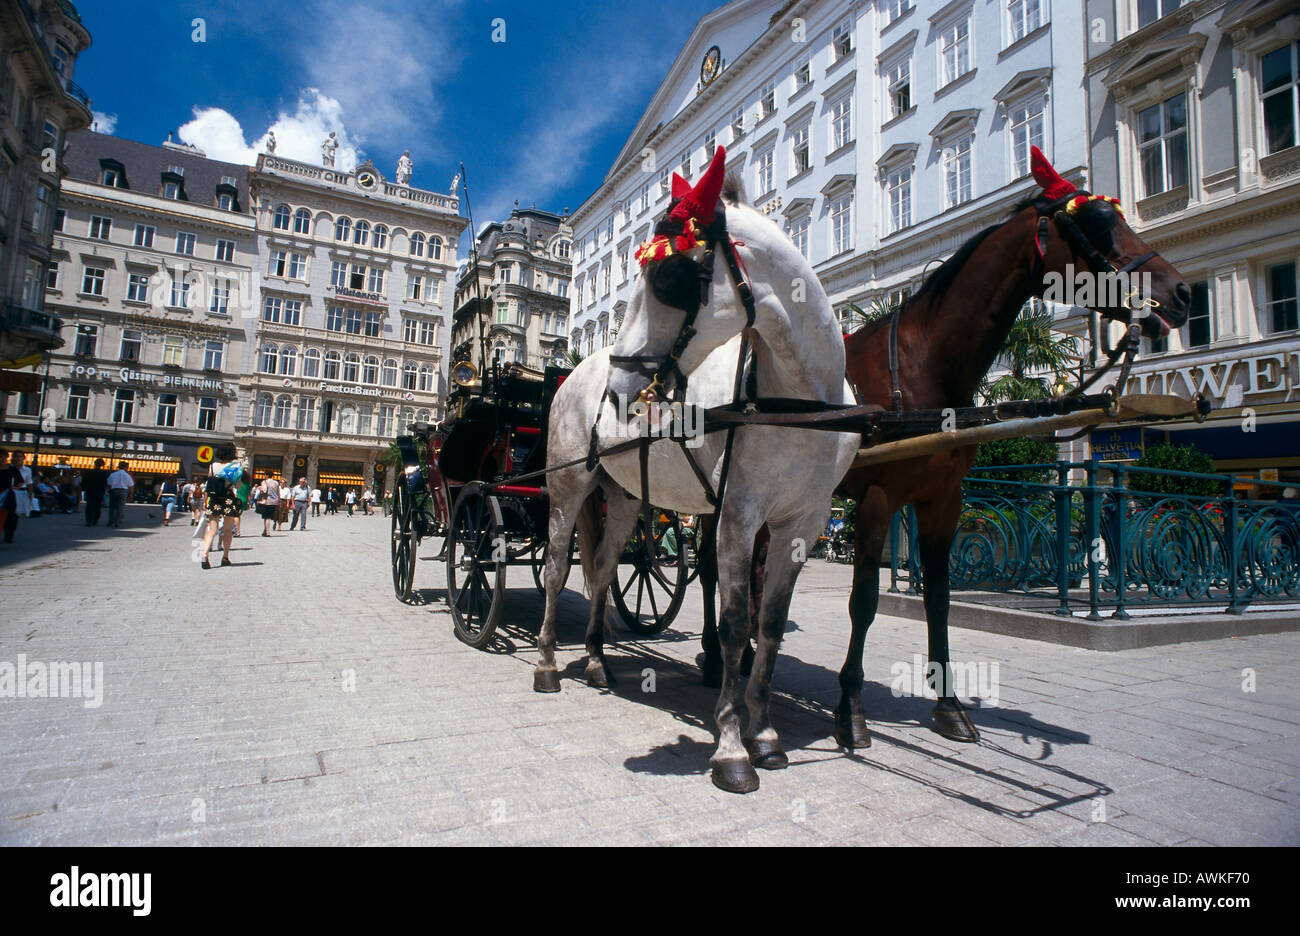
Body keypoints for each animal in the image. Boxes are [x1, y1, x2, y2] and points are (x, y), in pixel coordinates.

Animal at [535, 146, 860, 794]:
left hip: (624, 498)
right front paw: (732, 747)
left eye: (668, 278)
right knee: (558, 570)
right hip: (567, 486)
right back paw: (549, 663)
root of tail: (575, 372)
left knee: (602, 571)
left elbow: (770, 624)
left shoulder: (803, 524)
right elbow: (736, 624)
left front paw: (766, 734)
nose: (618, 389)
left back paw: (597, 661)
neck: (797, 398)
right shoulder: (738, 516)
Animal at [831, 147, 1191, 749]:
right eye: (1098, 222)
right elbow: (863, 603)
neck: (924, 366)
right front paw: (851, 709)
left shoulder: (943, 500)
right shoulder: (877, 498)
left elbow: (939, 599)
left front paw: (950, 705)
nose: (1181, 292)